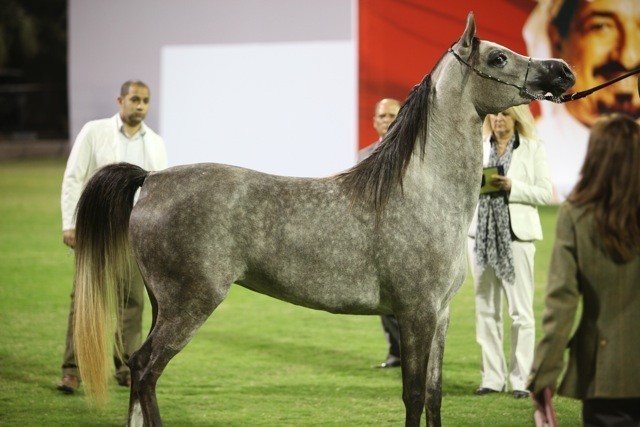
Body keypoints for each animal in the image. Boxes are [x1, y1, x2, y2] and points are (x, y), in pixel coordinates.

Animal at [72, 13, 574, 427]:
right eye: (498, 57)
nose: (563, 72)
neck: (424, 192)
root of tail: (152, 178)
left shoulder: (441, 316)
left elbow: (433, 397)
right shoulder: (416, 314)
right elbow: (413, 397)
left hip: (163, 304)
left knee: (141, 372)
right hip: (189, 305)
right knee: (144, 369)